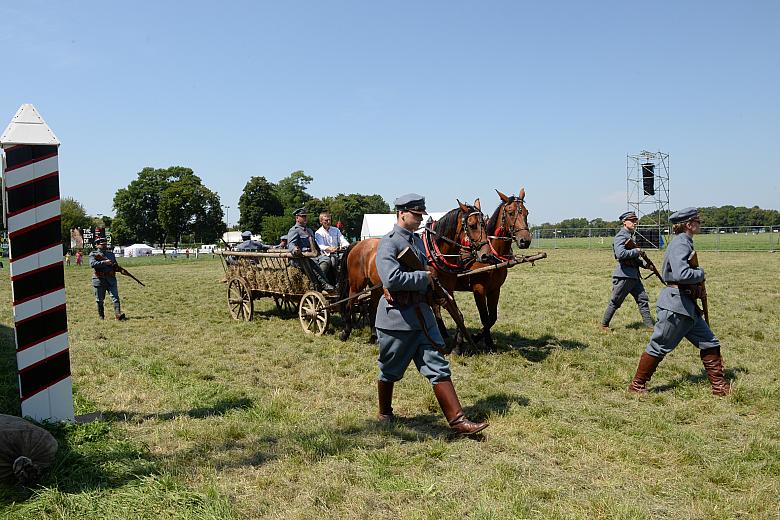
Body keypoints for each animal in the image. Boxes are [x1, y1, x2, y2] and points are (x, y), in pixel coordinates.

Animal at [338, 201, 490, 344]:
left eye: (484, 224)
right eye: (472, 225)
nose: (486, 255)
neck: (435, 252)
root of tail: (357, 244)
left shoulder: (447, 290)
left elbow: (458, 314)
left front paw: (458, 341)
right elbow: (438, 311)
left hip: (376, 287)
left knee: (371, 308)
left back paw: (374, 336)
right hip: (356, 285)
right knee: (349, 305)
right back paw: (346, 332)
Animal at [436, 189, 532, 352]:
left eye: (526, 212)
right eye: (511, 212)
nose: (525, 241)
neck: (492, 255)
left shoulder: (495, 289)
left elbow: (492, 318)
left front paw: (487, 342)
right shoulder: (478, 289)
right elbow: (484, 317)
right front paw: (477, 339)